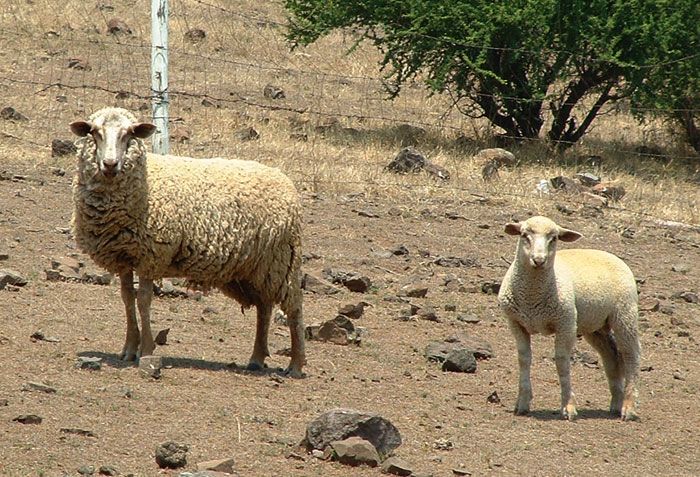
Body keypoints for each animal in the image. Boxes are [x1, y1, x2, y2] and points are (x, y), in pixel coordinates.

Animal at [69, 107, 306, 376]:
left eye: (129, 134)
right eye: (94, 132)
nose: (110, 164)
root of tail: (284, 179)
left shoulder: (152, 255)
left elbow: (143, 300)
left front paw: (147, 350)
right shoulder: (124, 257)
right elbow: (127, 298)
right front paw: (129, 348)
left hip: (281, 259)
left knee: (294, 308)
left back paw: (296, 365)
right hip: (254, 266)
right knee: (264, 308)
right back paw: (256, 358)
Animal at [498, 216, 640, 420]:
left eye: (554, 238)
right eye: (524, 235)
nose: (539, 260)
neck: (533, 296)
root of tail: (610, 255)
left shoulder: (566, 323)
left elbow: (562, 362)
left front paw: (568, 406)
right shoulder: (516, 323)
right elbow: (524, 359)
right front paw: (522, 403)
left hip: (625, 315)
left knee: (631, 356)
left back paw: (628, 408)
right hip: (595, 326)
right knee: (611, 356)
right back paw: (615, 404)